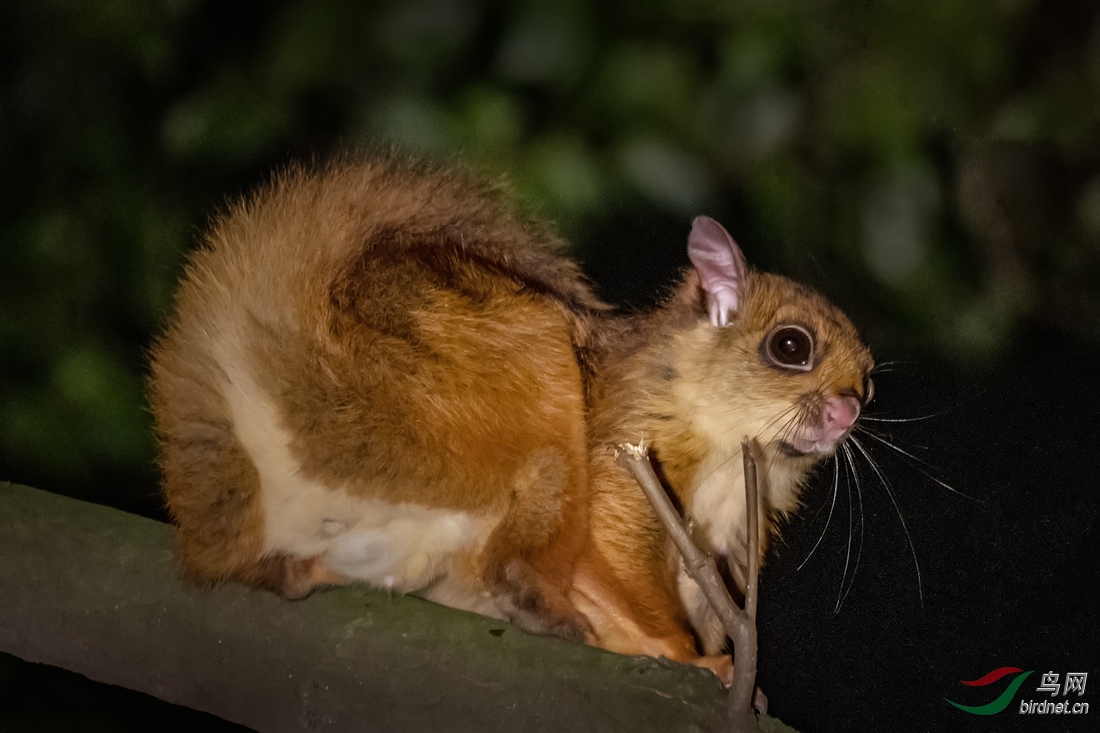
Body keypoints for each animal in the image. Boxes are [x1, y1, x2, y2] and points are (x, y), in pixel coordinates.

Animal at [148, 155, 866, 686]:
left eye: (870, 379)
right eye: (791, 346)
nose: (849, 409)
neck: (728, 453)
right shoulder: (624, 447)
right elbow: (613, 555)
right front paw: (687, 653)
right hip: (476, 409)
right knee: (518, 548)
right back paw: (542, 604)